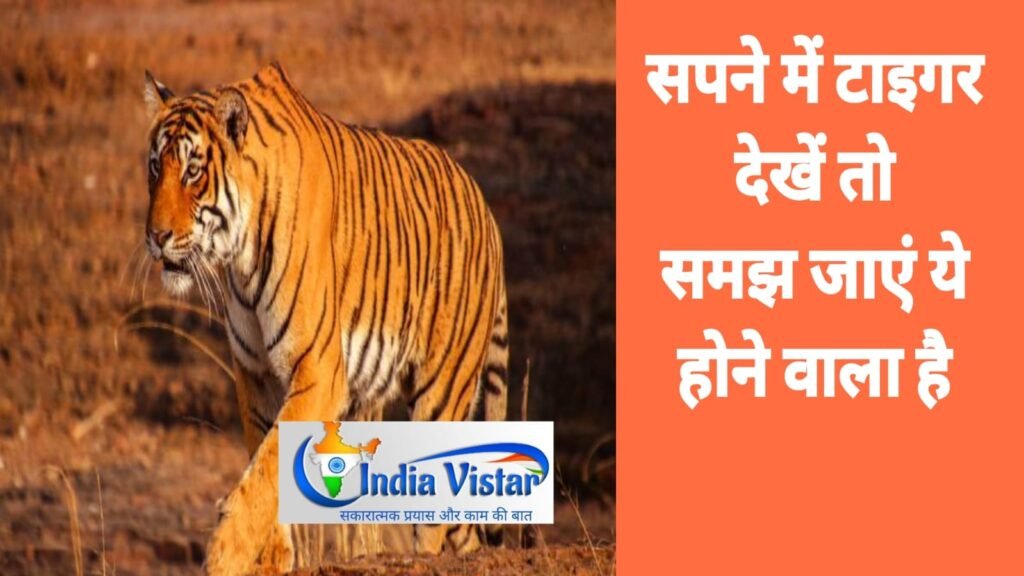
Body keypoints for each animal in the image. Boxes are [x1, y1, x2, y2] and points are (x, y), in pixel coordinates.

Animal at [142, 62, 509, 574]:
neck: (240, 257)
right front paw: (272, 556)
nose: (155, 236)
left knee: (435, 521)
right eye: (156, 167)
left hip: (443, 391)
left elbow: (267, 464)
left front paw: (225, 552)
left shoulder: (317, 369)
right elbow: (263, 458)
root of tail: (485, 206)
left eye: (193, 172)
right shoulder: (254, 372)